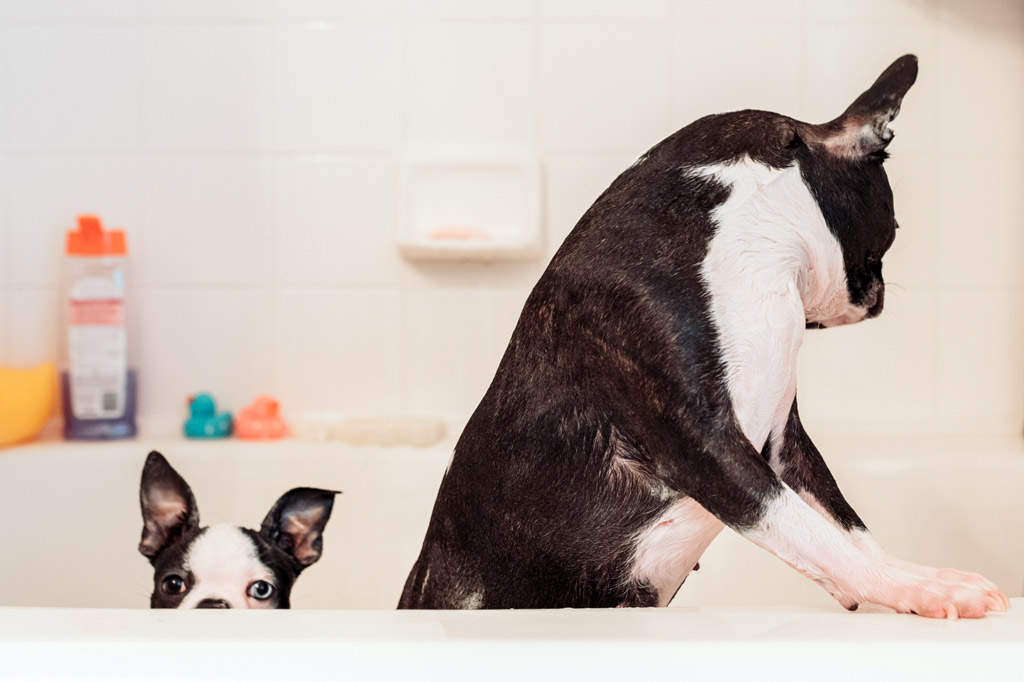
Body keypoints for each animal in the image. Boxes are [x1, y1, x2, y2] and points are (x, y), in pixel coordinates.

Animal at [397, 54, 1007, 614]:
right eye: (894, 230)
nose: (876, 295)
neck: (749, 242)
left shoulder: (782, 443)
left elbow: (844, 524)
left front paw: (905, 575)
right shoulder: (705, 448)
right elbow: (810, 531)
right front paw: (920, 589)